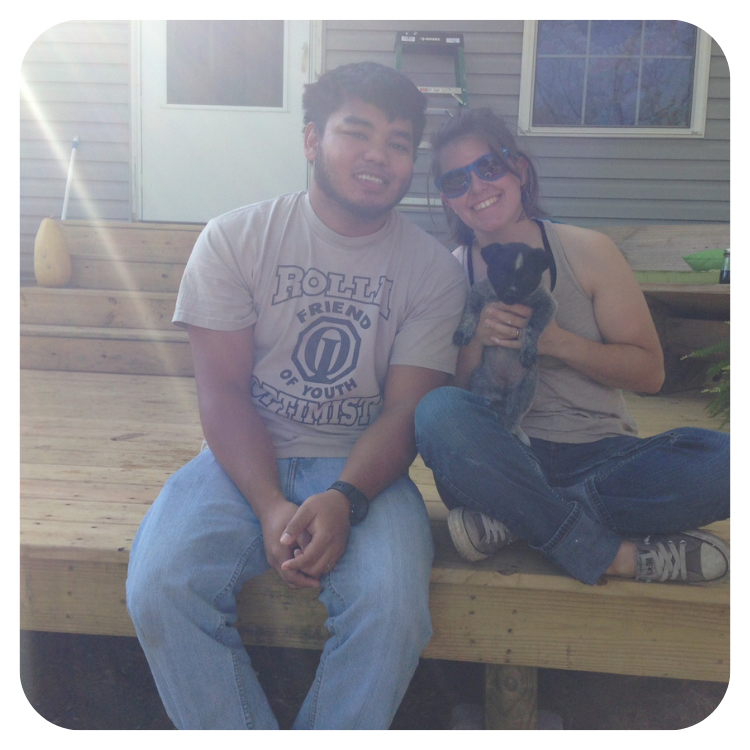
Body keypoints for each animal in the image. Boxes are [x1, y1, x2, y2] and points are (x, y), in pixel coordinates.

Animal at [452, 244, 560, 438]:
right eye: (501, 273)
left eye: (526, 277)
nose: (510, 294)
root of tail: (503, 387)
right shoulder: (477, 293)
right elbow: (470, 313)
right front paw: (463, 332)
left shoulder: (547, 304)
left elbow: (532, 327)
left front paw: (528, 350)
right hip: (479, 380)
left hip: (526, 390)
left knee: (516, 412)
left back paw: (510, 424)